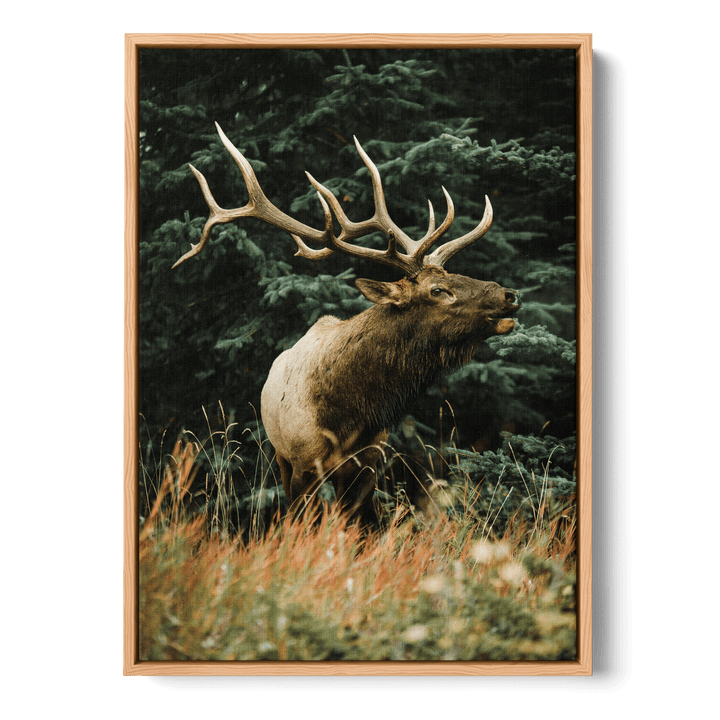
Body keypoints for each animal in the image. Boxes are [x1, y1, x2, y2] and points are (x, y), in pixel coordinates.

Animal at [173, 123, 520, 526]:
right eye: (438, 290)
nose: (510, 294)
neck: (350, 413)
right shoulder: (303, 461)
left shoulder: (368, 464)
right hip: (279, 455)